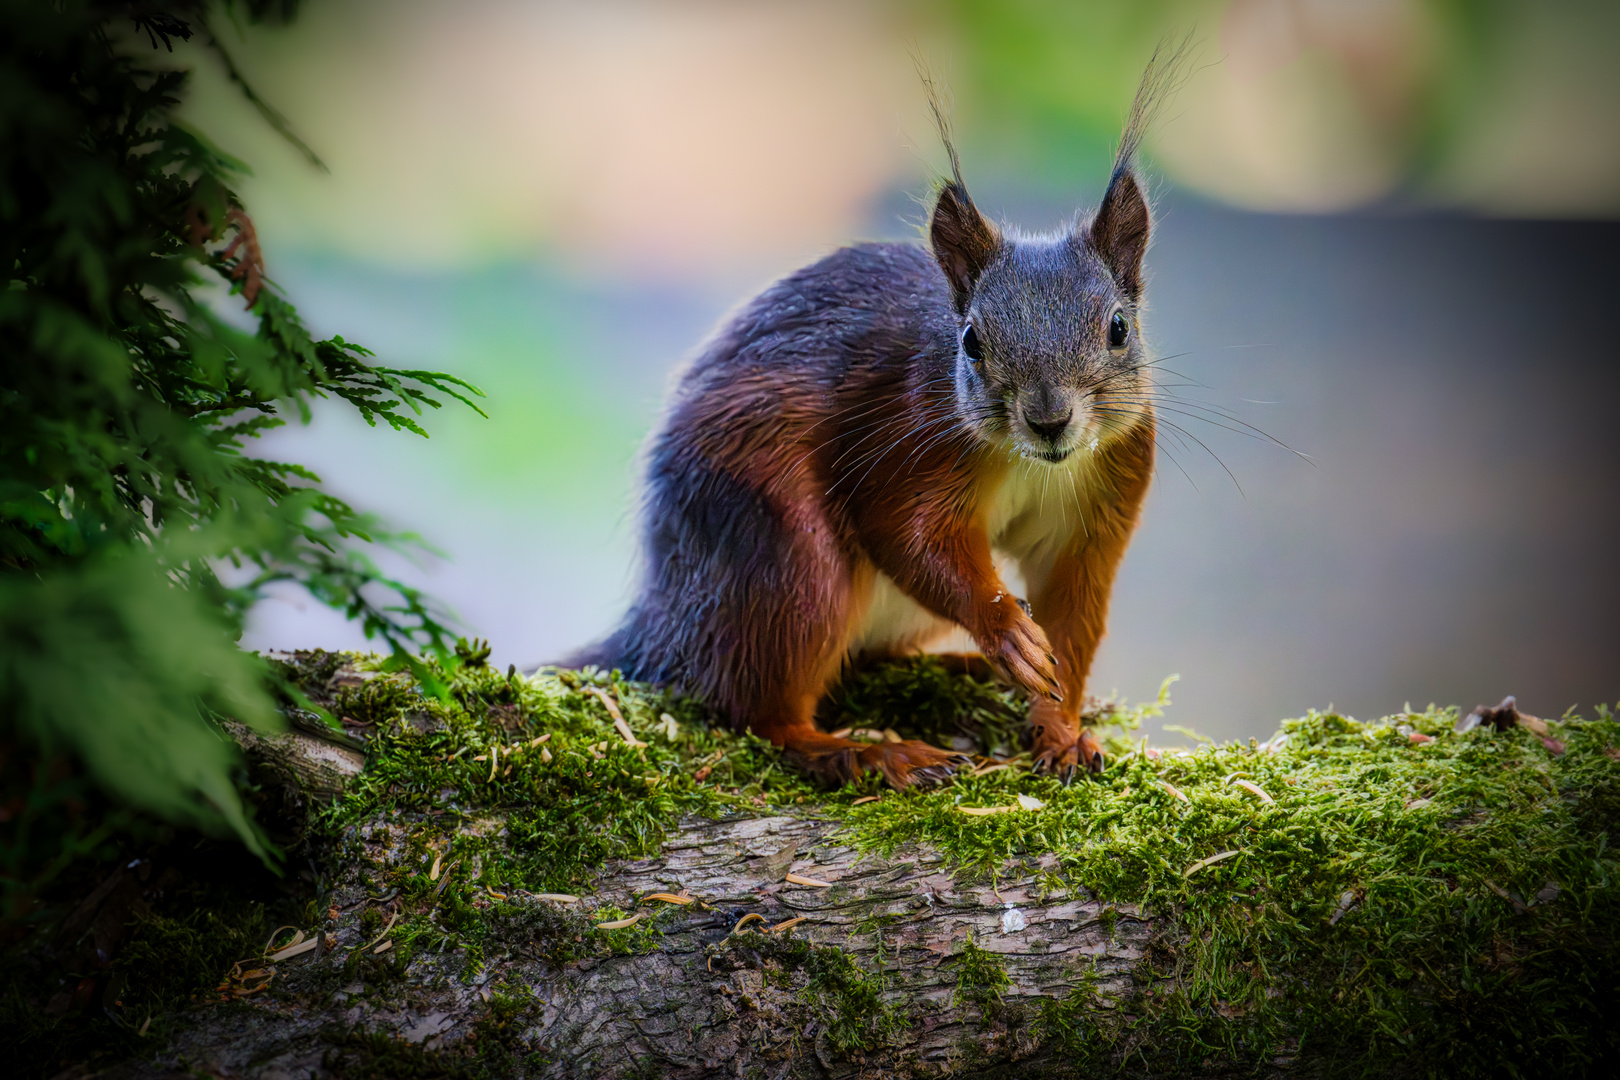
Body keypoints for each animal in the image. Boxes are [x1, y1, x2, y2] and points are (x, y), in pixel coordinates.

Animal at [570, 55, 1179, 790]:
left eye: (1119, 327)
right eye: (971, 341)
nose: (1049, 419)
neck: (1030, 463)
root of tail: (665, 621)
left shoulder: (1100, 502)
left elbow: (1072, 621)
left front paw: (1062, 731)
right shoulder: (901, 439)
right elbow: (905, 533)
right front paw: (1003, 628)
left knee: (860, 662)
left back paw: (963, 671)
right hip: (791, 563)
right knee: (757, 712)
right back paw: (870, 750)